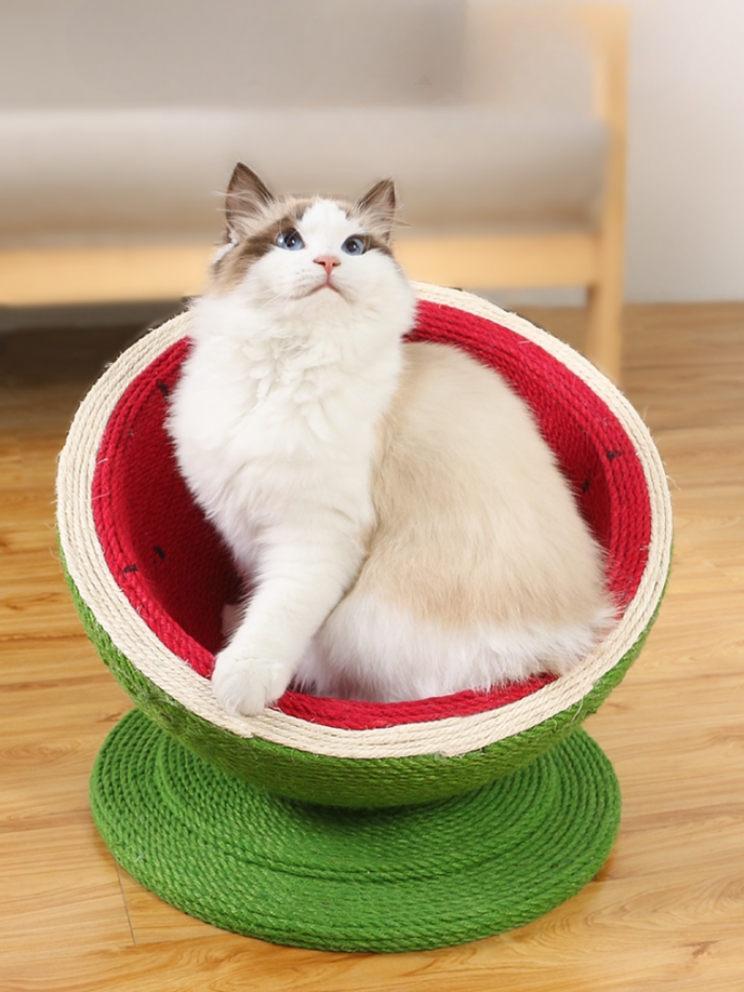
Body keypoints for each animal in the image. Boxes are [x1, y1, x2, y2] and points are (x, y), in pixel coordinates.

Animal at [167, 167, 612, 716]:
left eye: (353, 247)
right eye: (290, 241)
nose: (329, 261)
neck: (288, 367)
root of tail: (557, 645)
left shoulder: (316, 533)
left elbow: (277, 613)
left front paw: (240, 684)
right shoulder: (246, 527)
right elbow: (261, 592)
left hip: (360, 621)